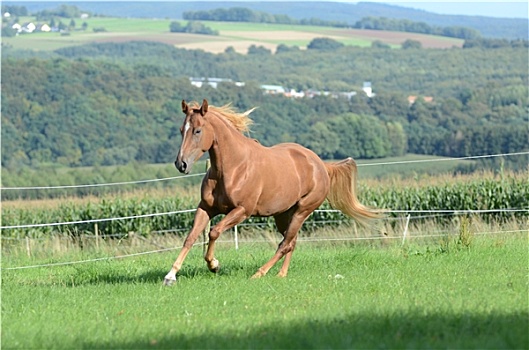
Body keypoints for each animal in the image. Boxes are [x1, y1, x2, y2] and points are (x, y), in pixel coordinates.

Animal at [163, 98, 378, 284]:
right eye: (182, 130)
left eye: (198, 130)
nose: (181, 164)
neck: (233, 167)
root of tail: (321, 165)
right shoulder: (206, 208)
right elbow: (190, 238)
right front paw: (170, 276)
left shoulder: (242, 211)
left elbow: (214, 232)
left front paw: (214, 265)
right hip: (283, 215)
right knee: (291, 242)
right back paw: (281, 274)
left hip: (302, 211)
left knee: (284, 244)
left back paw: (260, 273)